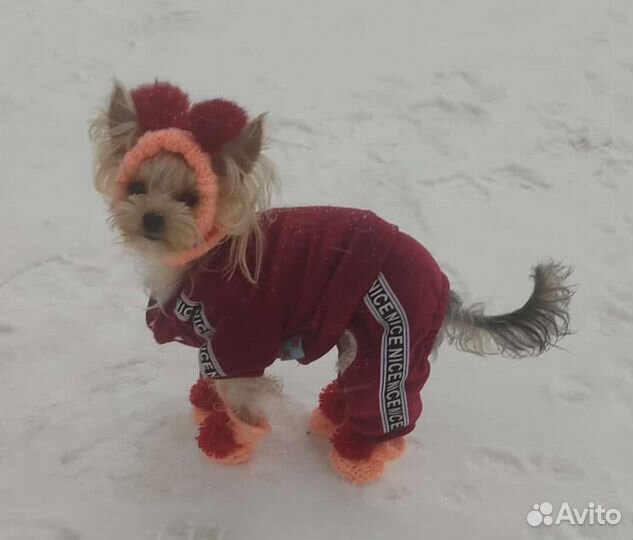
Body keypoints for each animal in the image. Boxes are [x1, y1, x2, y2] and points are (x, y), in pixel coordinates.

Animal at [90, 81, 572, 486]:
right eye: (135, 187)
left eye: (190, 199)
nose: (152, 218)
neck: (206, 253)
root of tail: (443, 286)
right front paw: (207, 405)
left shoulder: (241, 337)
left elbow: (240, 394)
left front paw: (230, 440)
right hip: (362, 336)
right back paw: (331, 418)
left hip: (396, 332)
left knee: (384, 403)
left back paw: (356, 458)